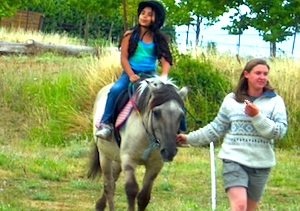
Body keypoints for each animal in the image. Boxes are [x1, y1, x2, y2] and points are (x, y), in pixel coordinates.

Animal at [88, 76, 189, 211]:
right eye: (156, 113)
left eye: (181, 115)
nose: (169, 151)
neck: (146, 134)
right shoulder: (129, 159)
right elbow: (131, 190)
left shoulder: (155, 165)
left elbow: (144, 197)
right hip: (104, 155)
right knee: (109, 186)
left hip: (117, 157)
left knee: (114, 177)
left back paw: (99, 205)